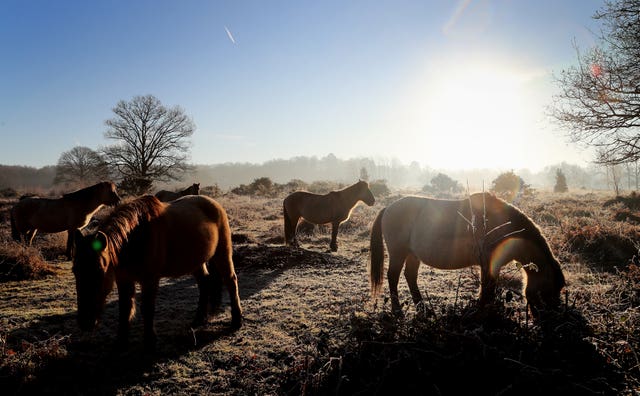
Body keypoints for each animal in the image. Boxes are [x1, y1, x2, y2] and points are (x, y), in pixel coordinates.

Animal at [72, 195, 242, 350]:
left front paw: (149, 341)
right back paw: (199, 318)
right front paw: (121, 341)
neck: (135, 237)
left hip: (222, 252)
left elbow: (147, 308)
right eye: (75, 270)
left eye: (100, 270)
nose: (85, 322)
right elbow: (125, 308)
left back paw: (237, 320)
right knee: (204, 283)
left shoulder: (150, 280)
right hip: (196, 261)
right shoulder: (124, 279)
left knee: (230, 281)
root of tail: (214, 203)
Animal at [370, 193, 564, 318]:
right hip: (398, 253)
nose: (553, 318)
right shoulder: (488, 264)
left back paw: (423, 309)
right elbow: (487, 289)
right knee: (393, 277)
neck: (504, 227)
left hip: (413, 255)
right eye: (552, 289)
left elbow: (489, 288)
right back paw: (398, 311)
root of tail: (388, 208)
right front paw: (483, 310)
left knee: (410, 276)